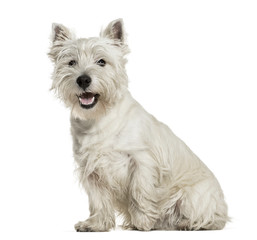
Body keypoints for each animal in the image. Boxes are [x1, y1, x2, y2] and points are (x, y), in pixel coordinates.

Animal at [48, 17, 228, 232]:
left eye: (102, 62)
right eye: (71, 62)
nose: (83, 79)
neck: (99, 120)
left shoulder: (141, 161)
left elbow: (139, 192)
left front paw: (142, 222)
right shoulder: (91, 169)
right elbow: (98, 200)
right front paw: (96, 224)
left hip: (191, 196)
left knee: (212, 218)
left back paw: (187, 223)